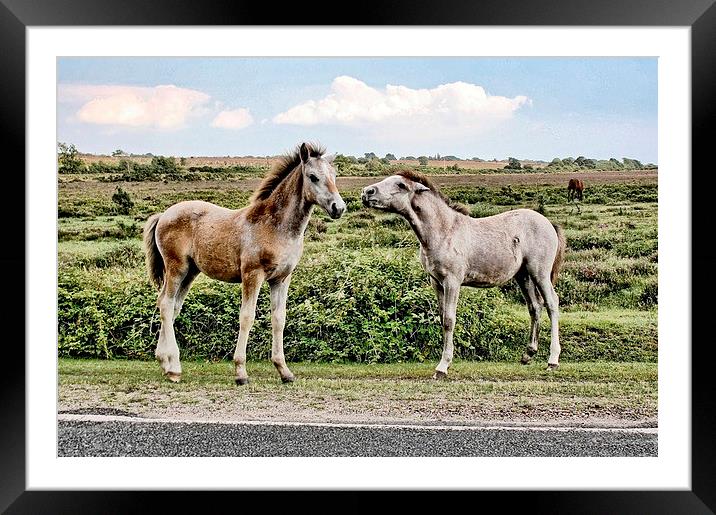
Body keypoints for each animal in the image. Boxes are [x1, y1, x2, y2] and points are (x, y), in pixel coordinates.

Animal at [142, 143, 344, 384]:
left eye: (334, 175)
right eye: (313, 177)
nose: (338, 207)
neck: (275, 226)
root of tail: (163, 215)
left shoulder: (282, 279)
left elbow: (279, 319)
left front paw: (284, 371)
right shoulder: (252, 275)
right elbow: (247, 317)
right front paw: (240, 372)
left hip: (190, 272)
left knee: (172, 306)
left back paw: (165, 363)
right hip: (176, 268)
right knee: (165, 304)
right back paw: (174, 368)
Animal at [364, 171, 564, 376]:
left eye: (401, 185)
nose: (367, 192)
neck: (444, 231)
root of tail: (549, 223)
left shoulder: (452, 282)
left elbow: (449, 320)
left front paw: (443, 367)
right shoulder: (436, 282)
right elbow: (442, 317)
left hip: (539, 273)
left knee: (551, 303)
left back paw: (553, 360)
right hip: (523, 275)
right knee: (535, 306)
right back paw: (528, 354)